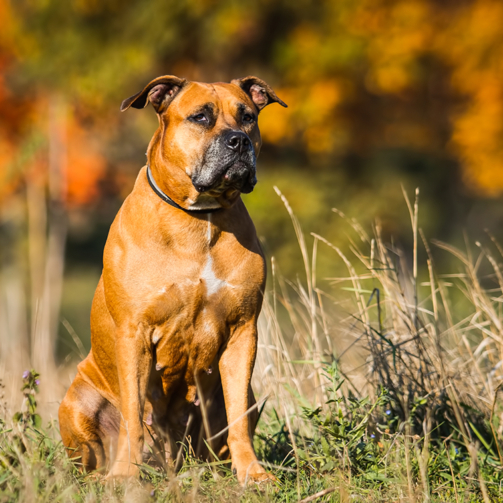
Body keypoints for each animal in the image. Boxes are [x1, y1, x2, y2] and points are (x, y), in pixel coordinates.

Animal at [58, 75, 288, 484]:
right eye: (200, 117)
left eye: (248, 117)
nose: (238, 141)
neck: (198, 219)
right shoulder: (134, 334)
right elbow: (134, 415)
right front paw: (124, 476)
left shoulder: (243, 331)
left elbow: (238, 421)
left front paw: (253, 474)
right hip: (76, 401)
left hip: (243, 397)